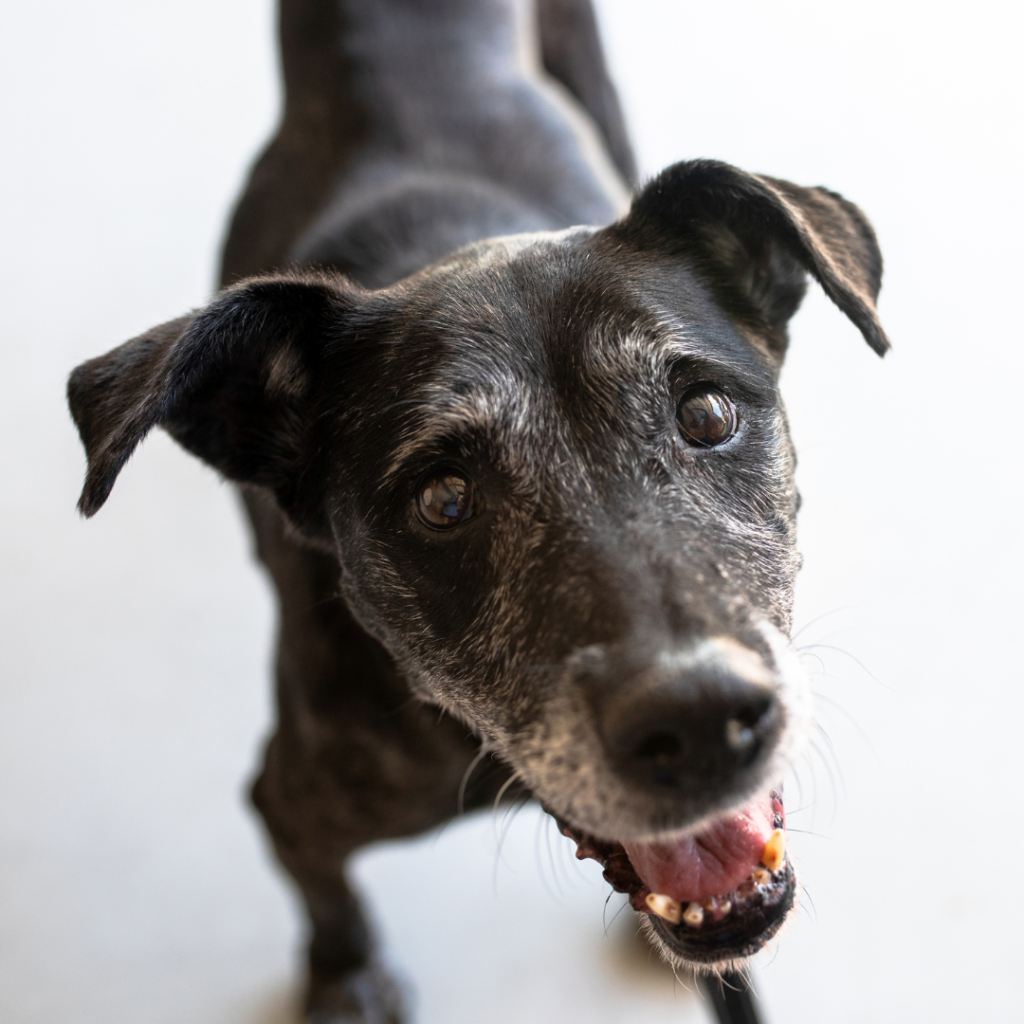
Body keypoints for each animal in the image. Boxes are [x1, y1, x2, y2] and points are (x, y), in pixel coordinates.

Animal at [68, 4, 888, 1019]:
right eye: (444, 500)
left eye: (705, 414)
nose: (700, 718)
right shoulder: (290, 800)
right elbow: (329, 897)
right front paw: (344, 977)